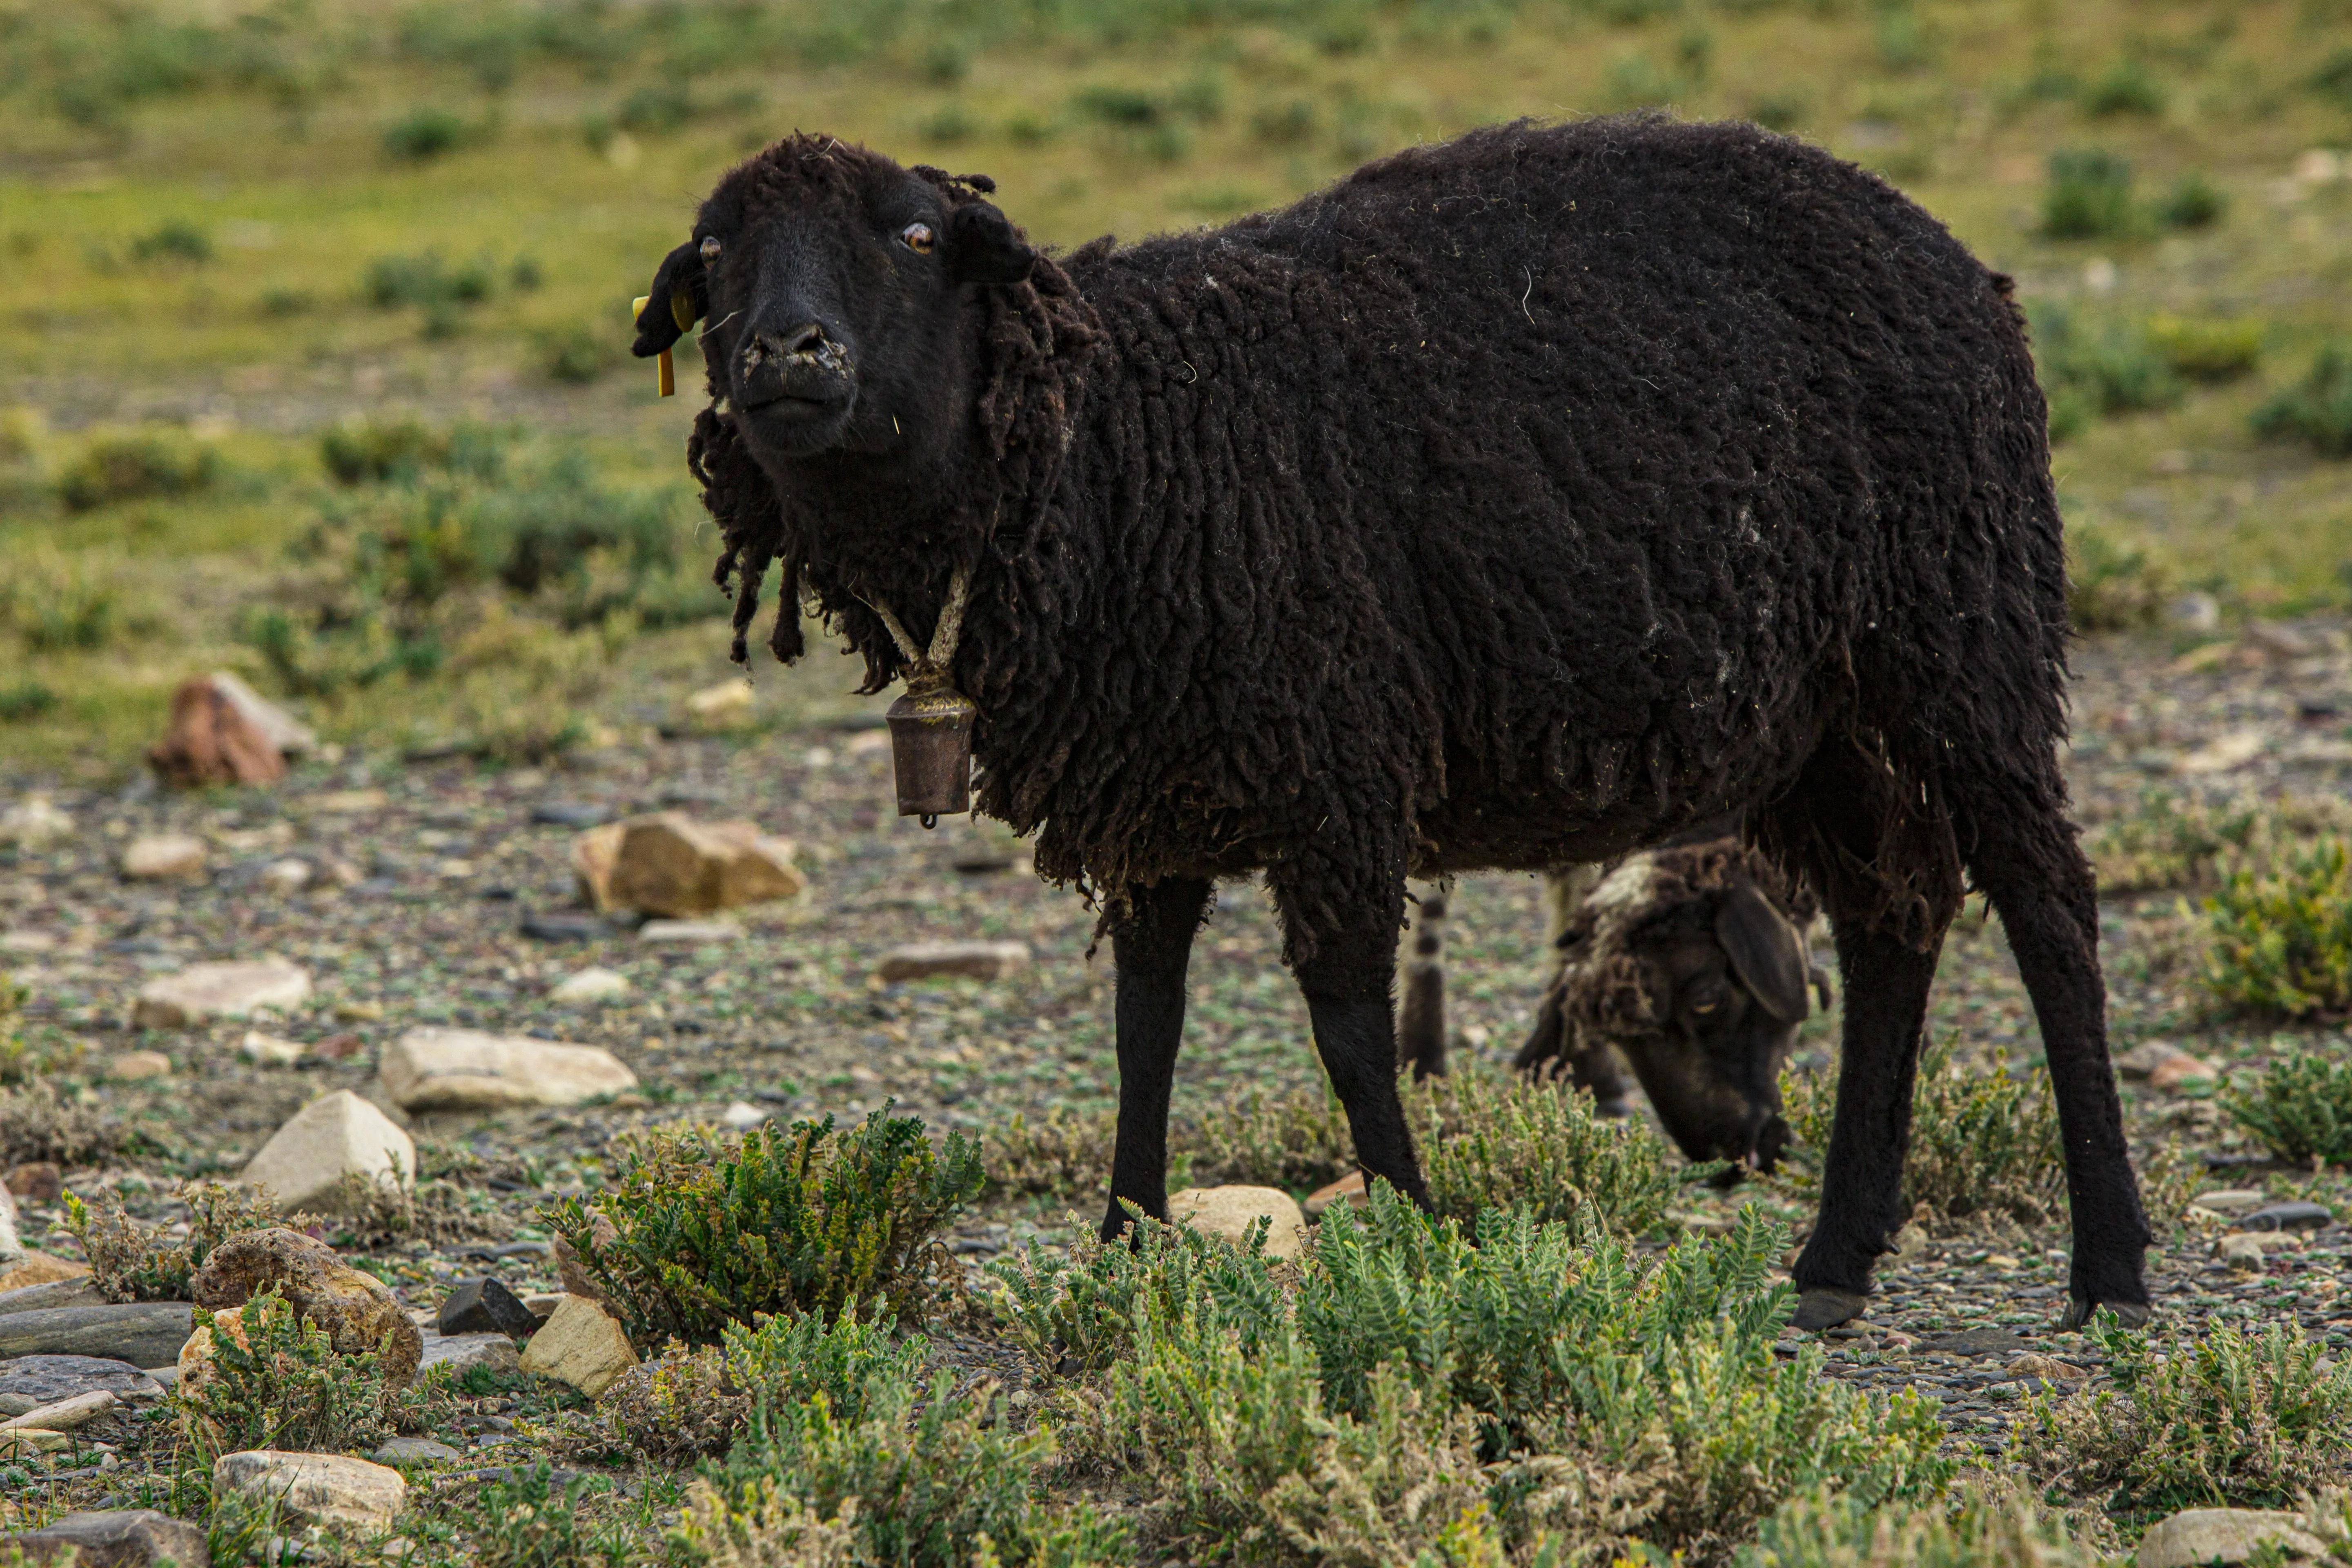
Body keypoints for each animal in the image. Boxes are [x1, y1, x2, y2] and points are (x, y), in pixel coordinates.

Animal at [635, 116, 2154, 1335]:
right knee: (1896, 923)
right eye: (715, 252)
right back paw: (1836, 1261)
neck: (1100, 436)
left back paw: (2112, 1270)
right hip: (1824, 718)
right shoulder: (1152, 794)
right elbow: (1146, 1020)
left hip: (1962, 637)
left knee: (2048, 911)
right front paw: (1126, 1238)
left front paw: (1419, 1237)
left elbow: (1351, 1028)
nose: (788, 352)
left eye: (911, 232)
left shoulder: (1335, 763)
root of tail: (1956, 262)